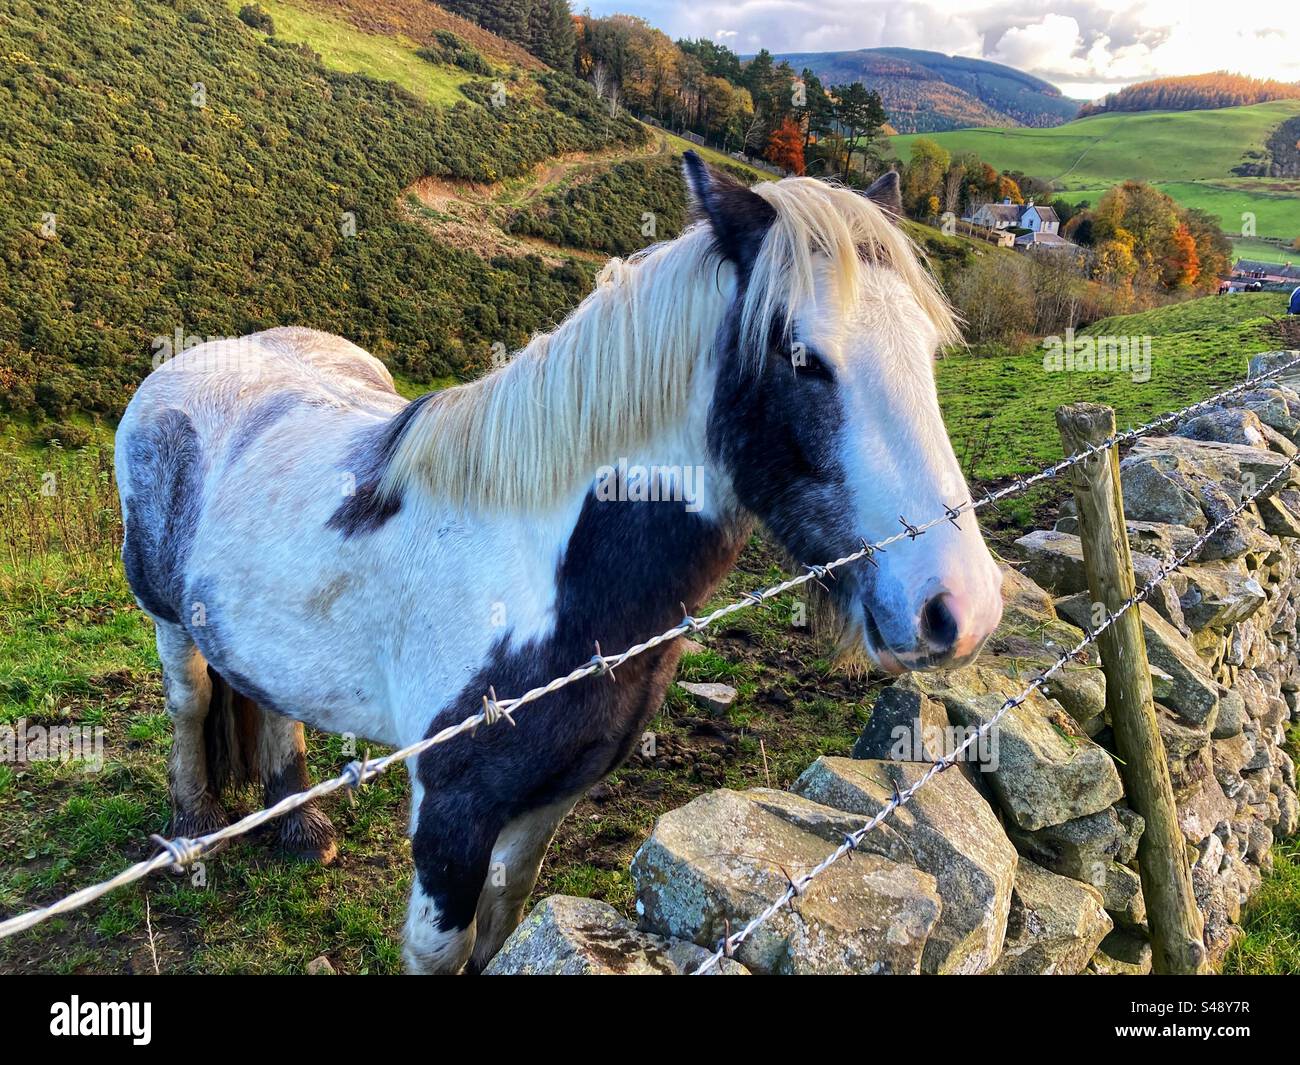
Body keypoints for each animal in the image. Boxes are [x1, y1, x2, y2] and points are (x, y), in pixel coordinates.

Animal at [115, 153, 1004, 974]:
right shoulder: (452, 812)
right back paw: (194, 829)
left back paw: (299, 821)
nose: (961, 606)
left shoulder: (552, 796)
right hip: (167, 620)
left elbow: (503, 919)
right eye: (800, 356)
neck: (543, 573)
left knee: (270, 699)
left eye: (929, 349)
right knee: (192, 699)